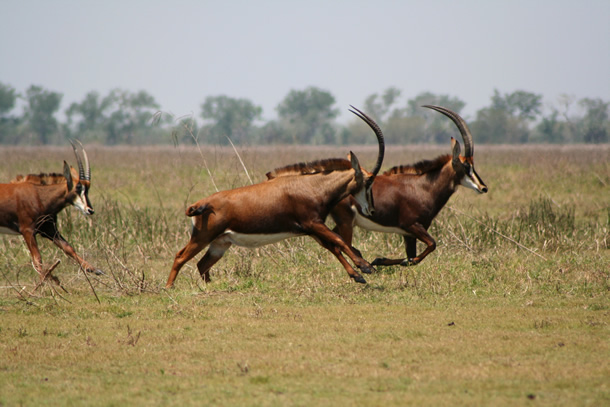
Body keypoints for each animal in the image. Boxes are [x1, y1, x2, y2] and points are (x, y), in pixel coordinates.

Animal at [0, 143, 102, 280]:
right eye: (78, 187)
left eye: (88, 189)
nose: (89, 210)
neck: (39, 195)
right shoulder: (27, 230)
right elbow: (37, 259)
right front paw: (44, 281)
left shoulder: (49, 229)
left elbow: (69, 248)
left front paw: (95, 269)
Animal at [164, 107, 382, 288]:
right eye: (369, 180)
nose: (371, 209)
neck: (313, 187)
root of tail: (201, 203)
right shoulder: (313, 223)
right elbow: (339, 241)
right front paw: (365, 267)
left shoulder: (311, 229)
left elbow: (334, 246)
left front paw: (358, 275)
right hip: (202, 237)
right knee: (180, 256)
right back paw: (169, 287)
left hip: (220, 243)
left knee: (202, 265)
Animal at [328, 103, 484, 266]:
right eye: (466, 165)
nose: (483, 187)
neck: (423, 188)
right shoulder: (411, 226)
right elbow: (431, 244)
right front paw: (382, 260)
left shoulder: (409, 234)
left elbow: (412, 256)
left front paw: (382, 260)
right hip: (346, 222)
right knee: (341, 242)